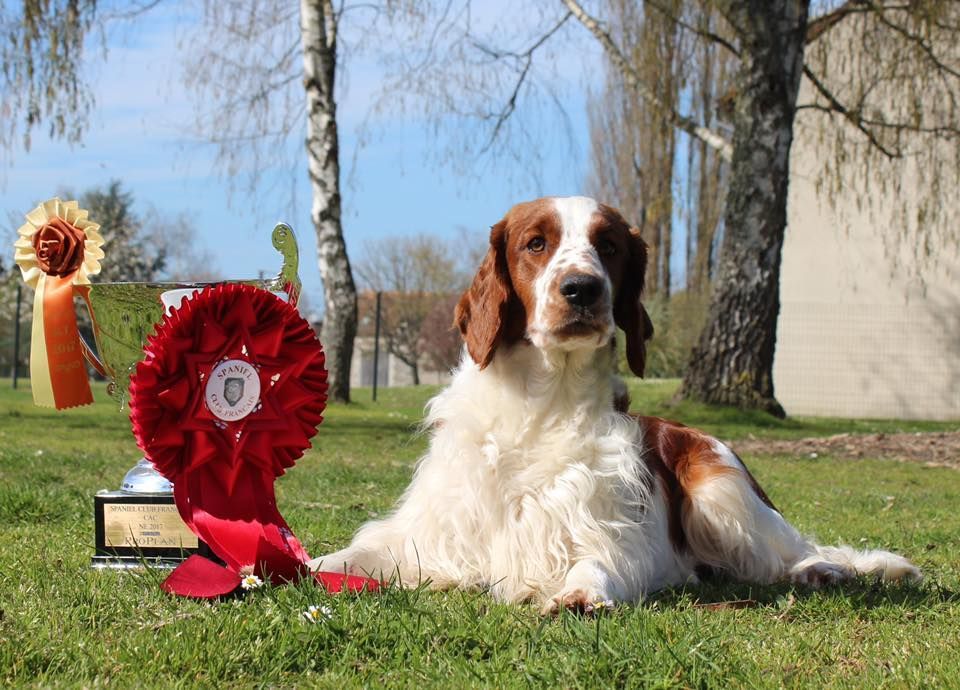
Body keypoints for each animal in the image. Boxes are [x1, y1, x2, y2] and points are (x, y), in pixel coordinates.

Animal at [308, 195, 924, 612]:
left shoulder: (610, 531)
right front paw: (297, 564)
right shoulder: (433, 530)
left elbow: (596, 558)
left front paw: (581, 592)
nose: (582, 289)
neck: (538, 403)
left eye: (608, 247)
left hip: (720, 489)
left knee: (787, 551)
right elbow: (350, 556)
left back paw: (822, 570)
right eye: (536, 243)